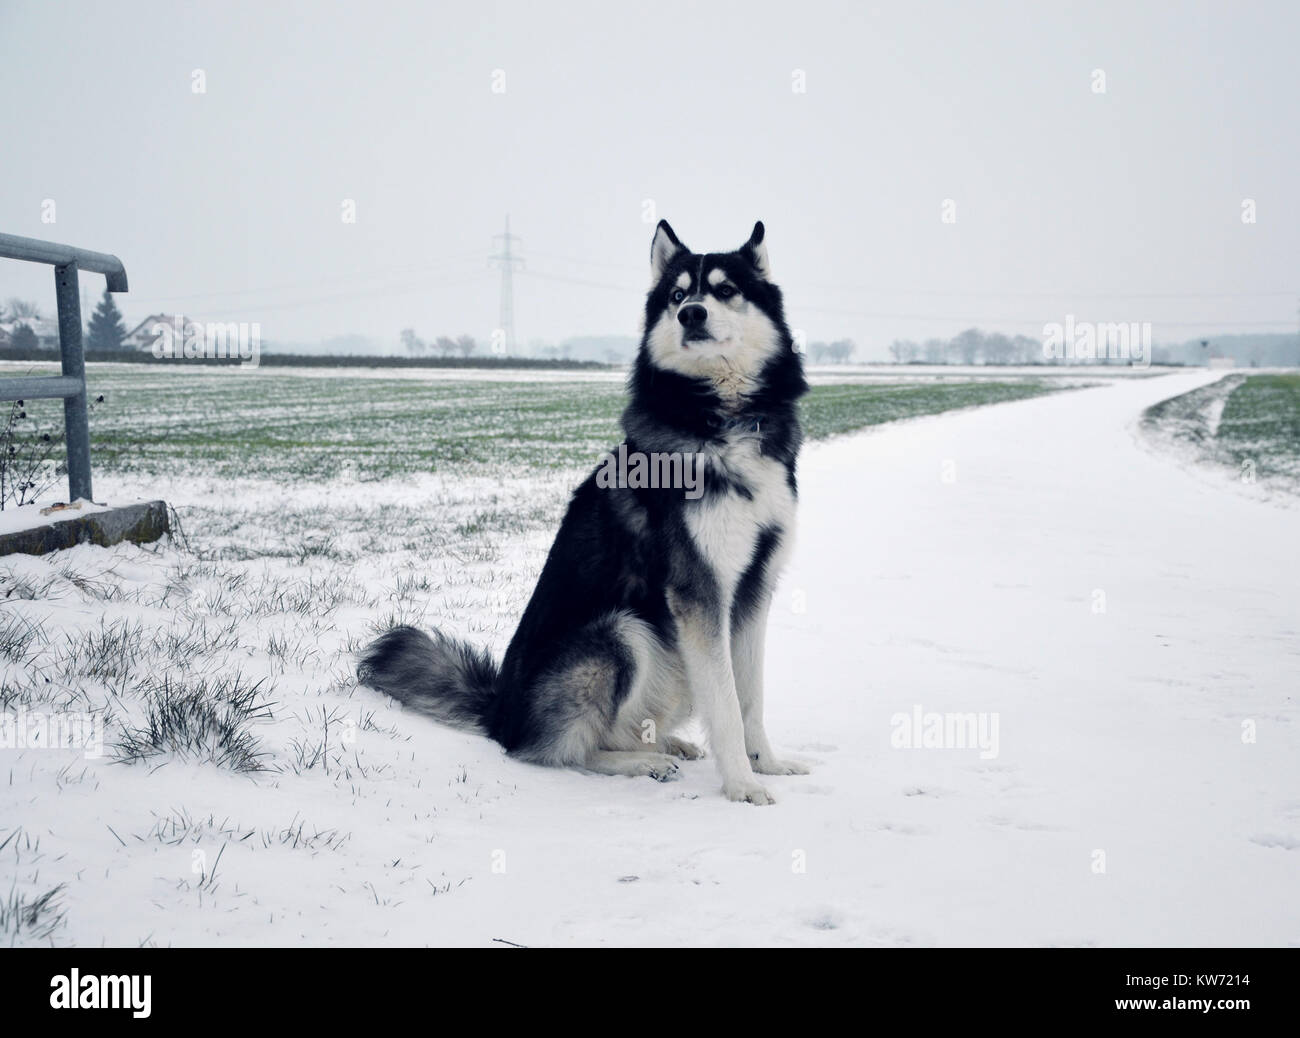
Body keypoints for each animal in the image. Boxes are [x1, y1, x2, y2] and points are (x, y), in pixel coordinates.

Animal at [361, 219, 806, 806]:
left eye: (725, 290)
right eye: (677, 295)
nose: (691, 314)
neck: (722, 418)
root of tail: (499, 710)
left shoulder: (755, 586)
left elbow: (749, 697)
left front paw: (767, 765)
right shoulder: (700, 592)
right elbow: (727, 704)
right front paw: (741, 785)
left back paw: (663, 744)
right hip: (623, 634)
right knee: (555, 752)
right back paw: (637, 761)